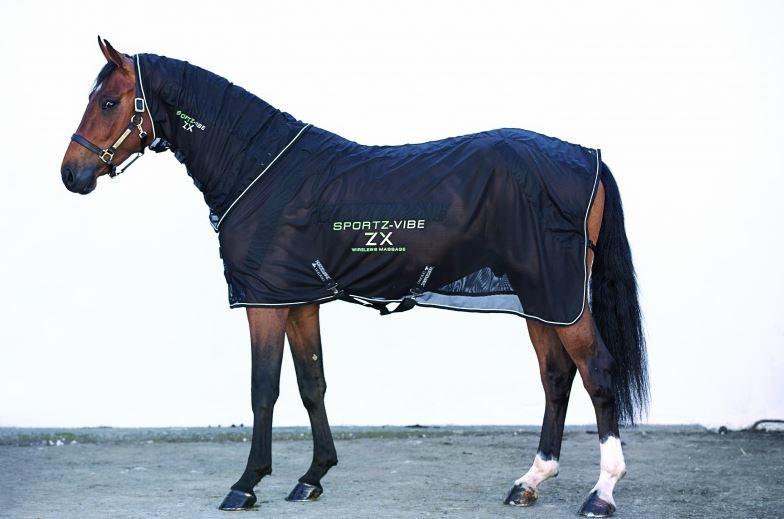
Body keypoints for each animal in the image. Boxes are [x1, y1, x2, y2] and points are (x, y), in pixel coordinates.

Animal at [60, 38, 648, 517]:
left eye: (108, 101)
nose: (71, 174)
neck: (259, 169)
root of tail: (587, 157)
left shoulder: (264, 303)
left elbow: (263, 389)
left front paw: (246, 484)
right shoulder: (298, 300)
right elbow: (311, 384)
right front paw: (311, 477)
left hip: (560, 295)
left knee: (596, 372)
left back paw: (601, 493)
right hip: (543, 298)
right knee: (556, 375)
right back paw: (530, 481)